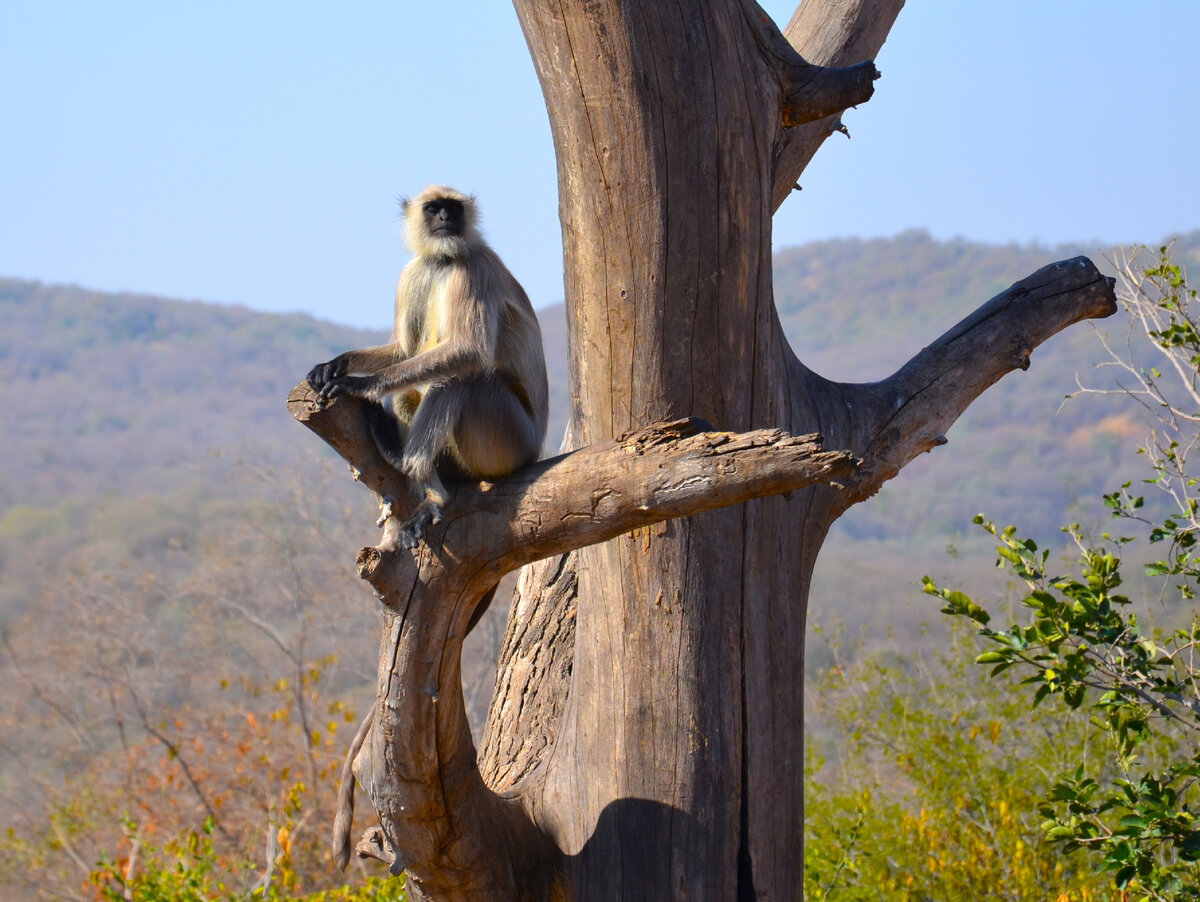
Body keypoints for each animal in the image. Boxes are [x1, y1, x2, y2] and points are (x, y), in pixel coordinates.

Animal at [309, 184, 552, 549]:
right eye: (433, 208)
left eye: (453, 208)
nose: (445, 218)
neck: (443, 260)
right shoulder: (412, 272)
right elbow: (403, 351)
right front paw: (337, 364)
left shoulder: (472, 268)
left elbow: (470, 350)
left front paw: (360, 384)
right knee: (409, 388)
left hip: (513, 444)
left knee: (466, 378)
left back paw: (428, 486)